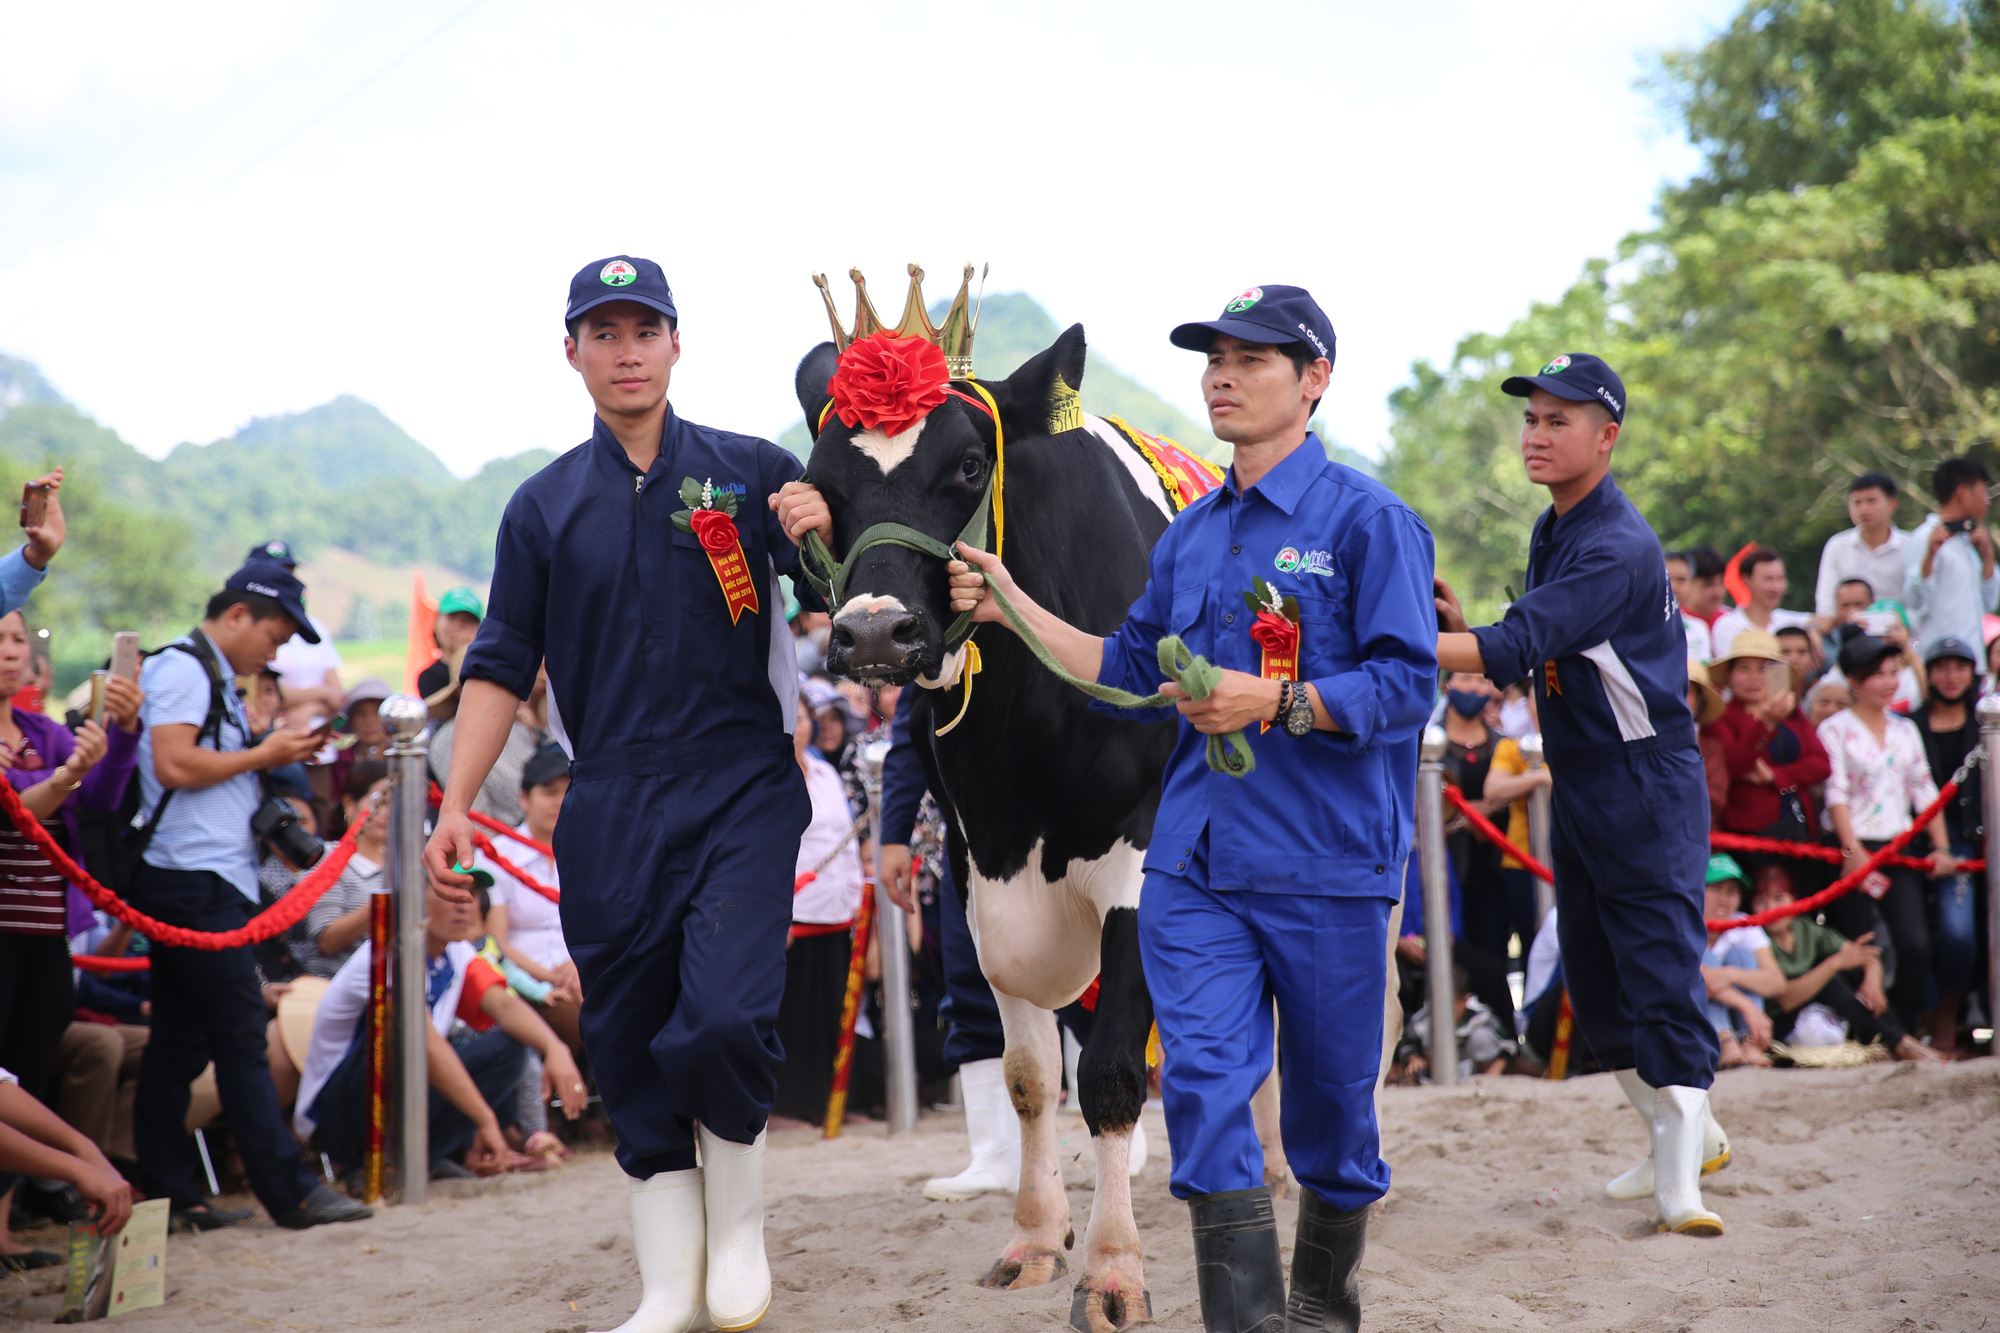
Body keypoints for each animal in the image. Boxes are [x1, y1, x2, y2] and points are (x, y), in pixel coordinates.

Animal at [792, 324, 1264, 1328]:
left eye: (971, 464)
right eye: (820, 477)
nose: (876, 633)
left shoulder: (1142, 863)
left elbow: (1114, 1069)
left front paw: (1115, 1269)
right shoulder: (983, 881)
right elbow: (1029, 1073)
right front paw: (1036, 1241)